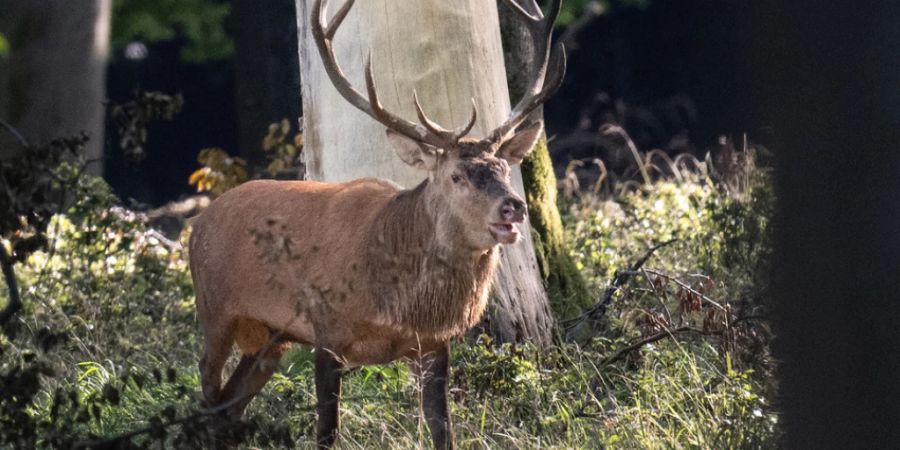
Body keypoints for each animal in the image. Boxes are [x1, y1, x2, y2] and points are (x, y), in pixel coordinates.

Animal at [188, 0, 564, 446]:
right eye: (456, 176)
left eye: (505, 169)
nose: (514, 206)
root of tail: (197, 224)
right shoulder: (327, 330)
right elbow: (327, 431)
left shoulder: (433, 344)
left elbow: (443, 430)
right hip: (214, 308)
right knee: (208, 384)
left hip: (271, 337)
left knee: (230, 404)